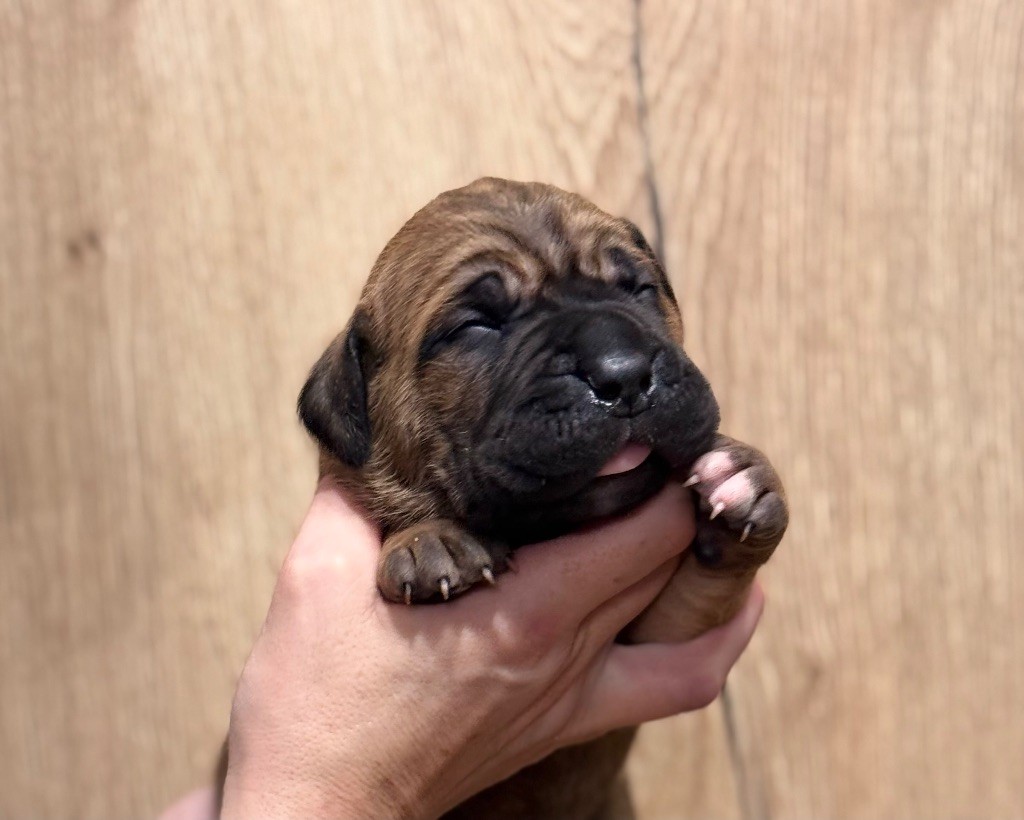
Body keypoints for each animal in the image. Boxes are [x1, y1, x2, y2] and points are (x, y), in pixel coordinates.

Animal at [299, 179, 790, 818]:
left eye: (638, 288)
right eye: (476, 326)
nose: (624, 373)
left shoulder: (666, 636)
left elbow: (705, 587)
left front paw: (747, 478)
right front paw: (431, 541)